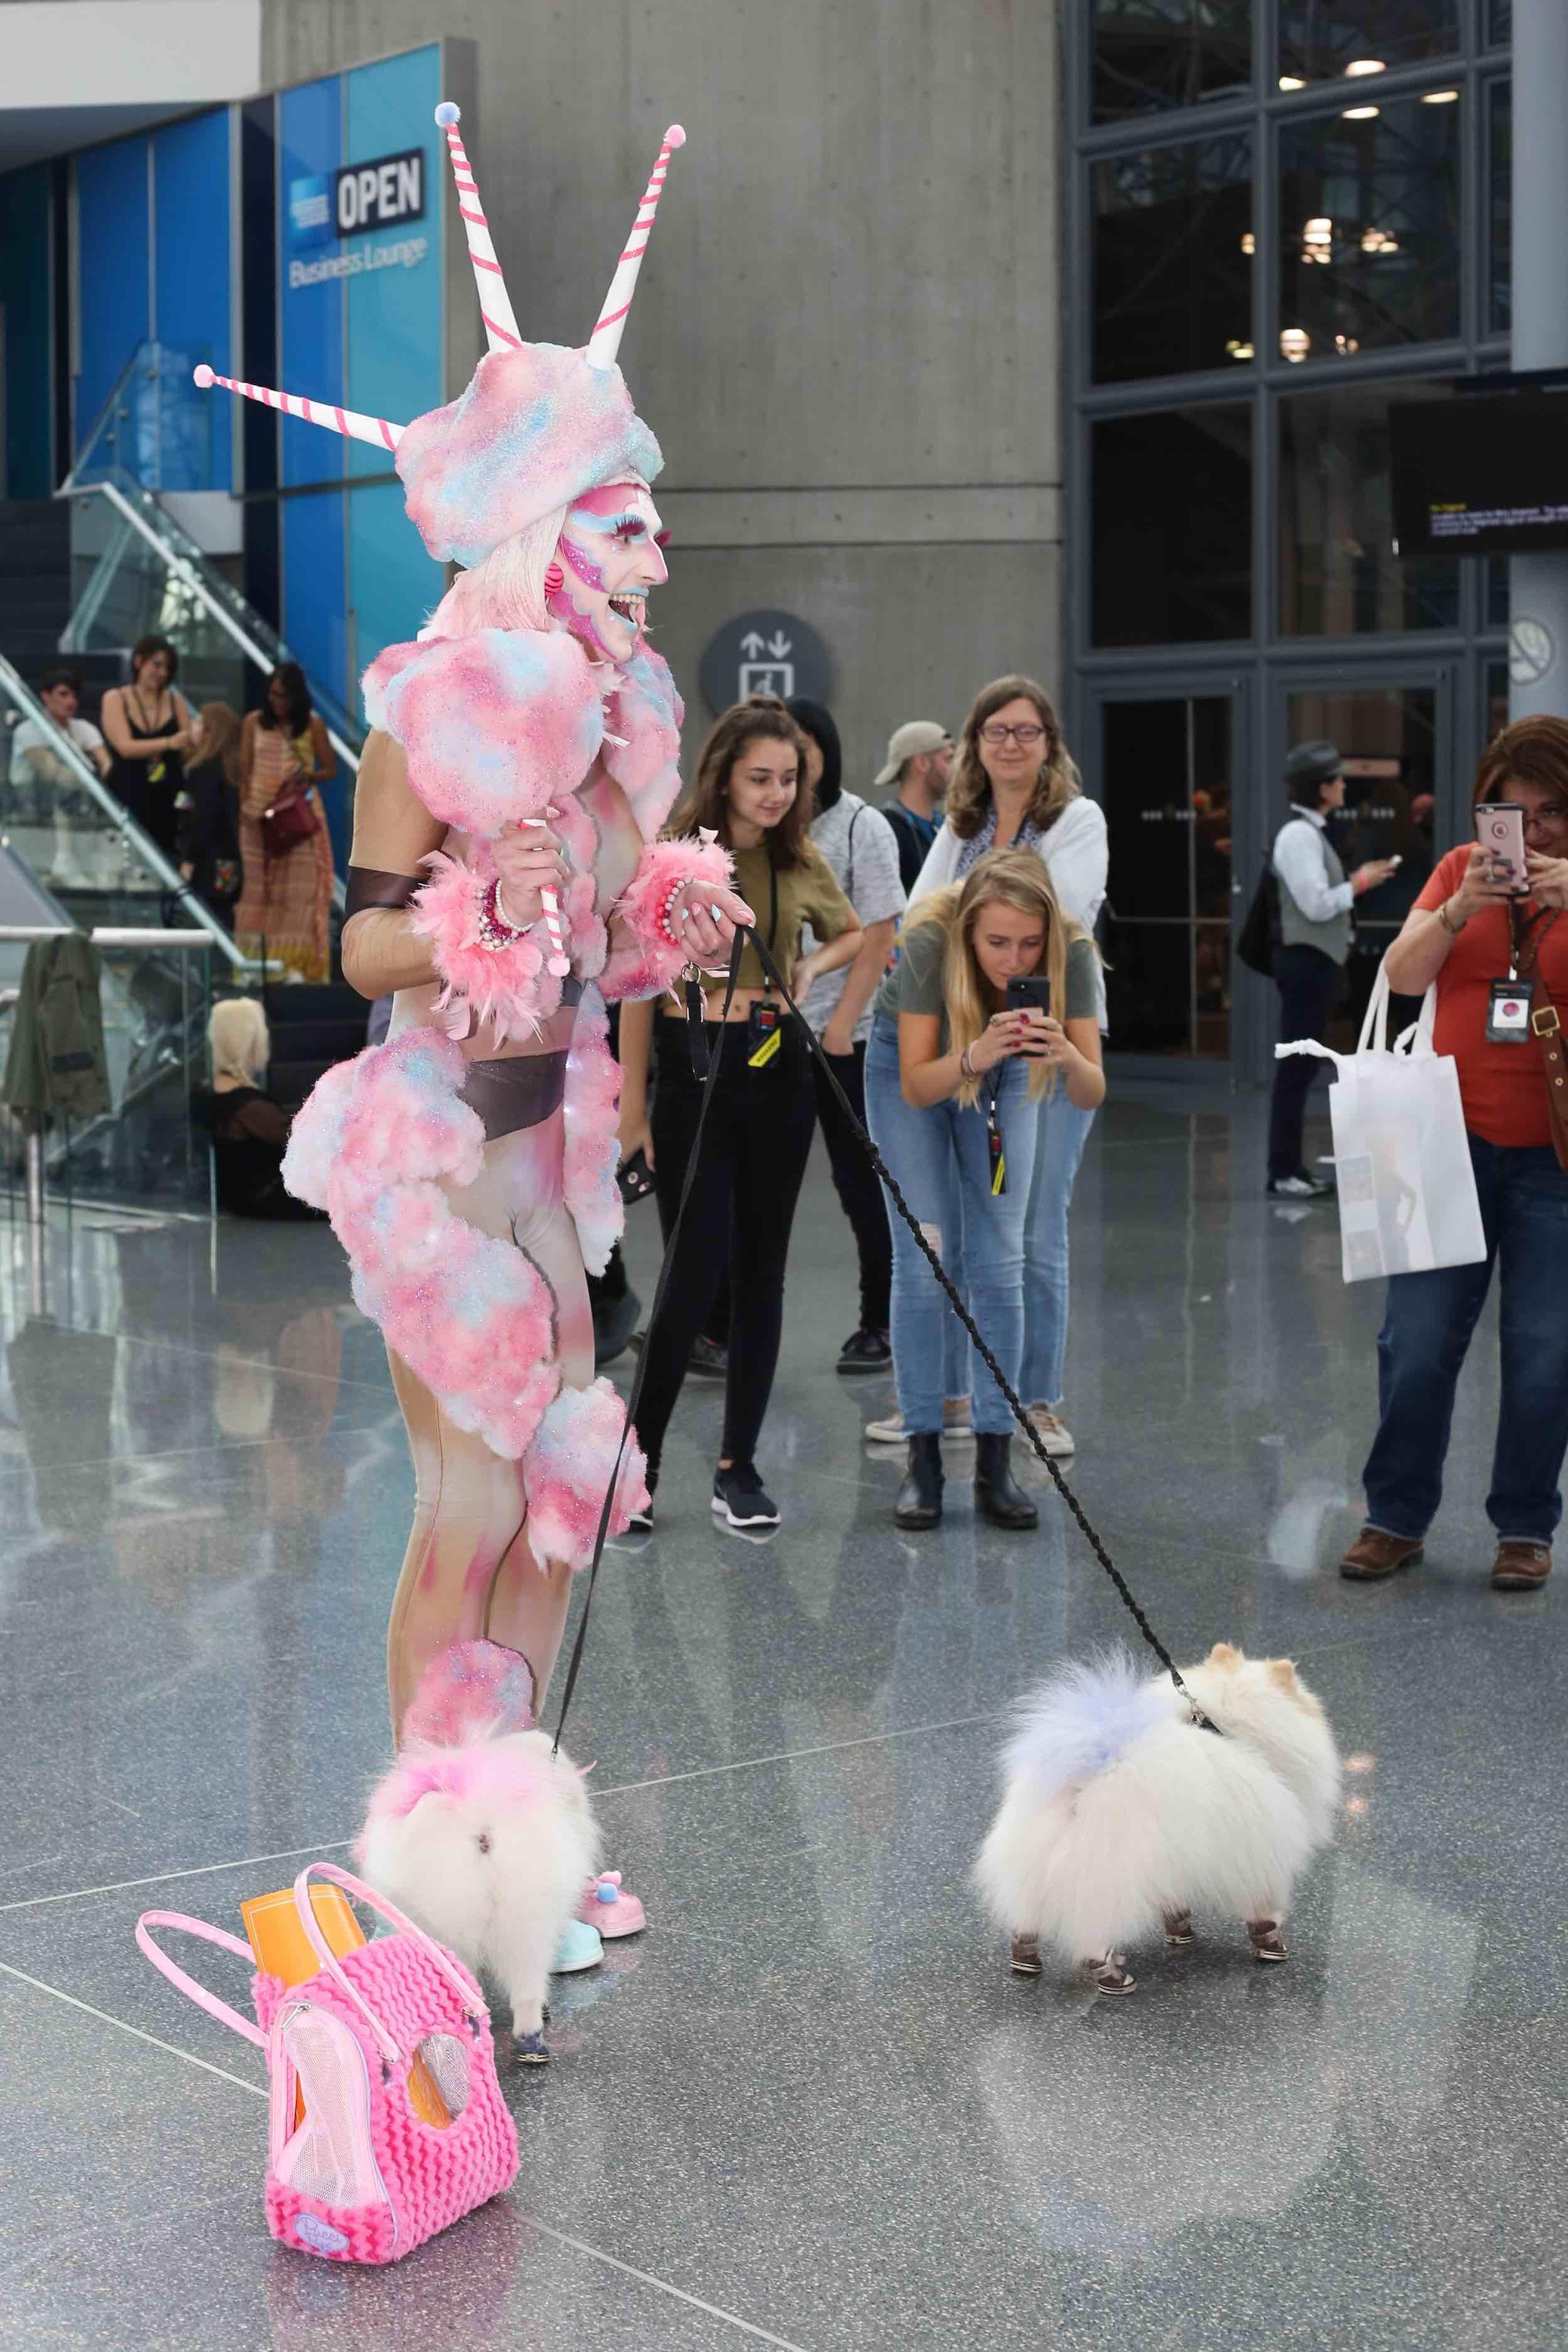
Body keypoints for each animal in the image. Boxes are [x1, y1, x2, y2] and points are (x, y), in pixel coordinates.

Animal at [973, 1646, 1344, 1994]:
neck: (1228, 1729)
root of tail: (1085, 1780)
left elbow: (1175, 1903)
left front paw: (1181, 1931)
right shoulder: (1262, 1858)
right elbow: (1265, 1912)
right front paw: (1271, 1946)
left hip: (1034, 1864)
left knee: (1025, 1918)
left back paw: (1025, 1958)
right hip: (1109, 1878)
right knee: (1095, 1932)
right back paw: (1112, 1977)